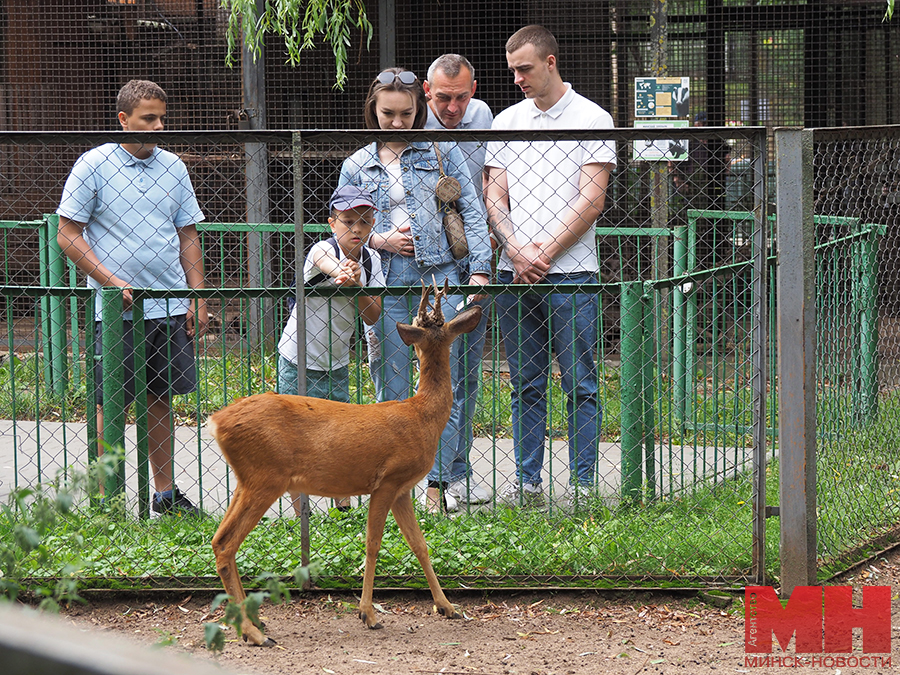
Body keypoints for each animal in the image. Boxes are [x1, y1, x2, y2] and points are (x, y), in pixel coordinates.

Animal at [207, 282, 482, 648]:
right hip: (265, 478)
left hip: (246, 479)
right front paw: (368, 615)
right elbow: (373, 543)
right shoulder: (388, 480)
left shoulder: (403, 489)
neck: (421, 416)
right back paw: (253, 633)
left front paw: (447, 607)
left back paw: (255, 622)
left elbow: (420, 545)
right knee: (226, 543)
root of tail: (216, 422)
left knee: (219, 540)